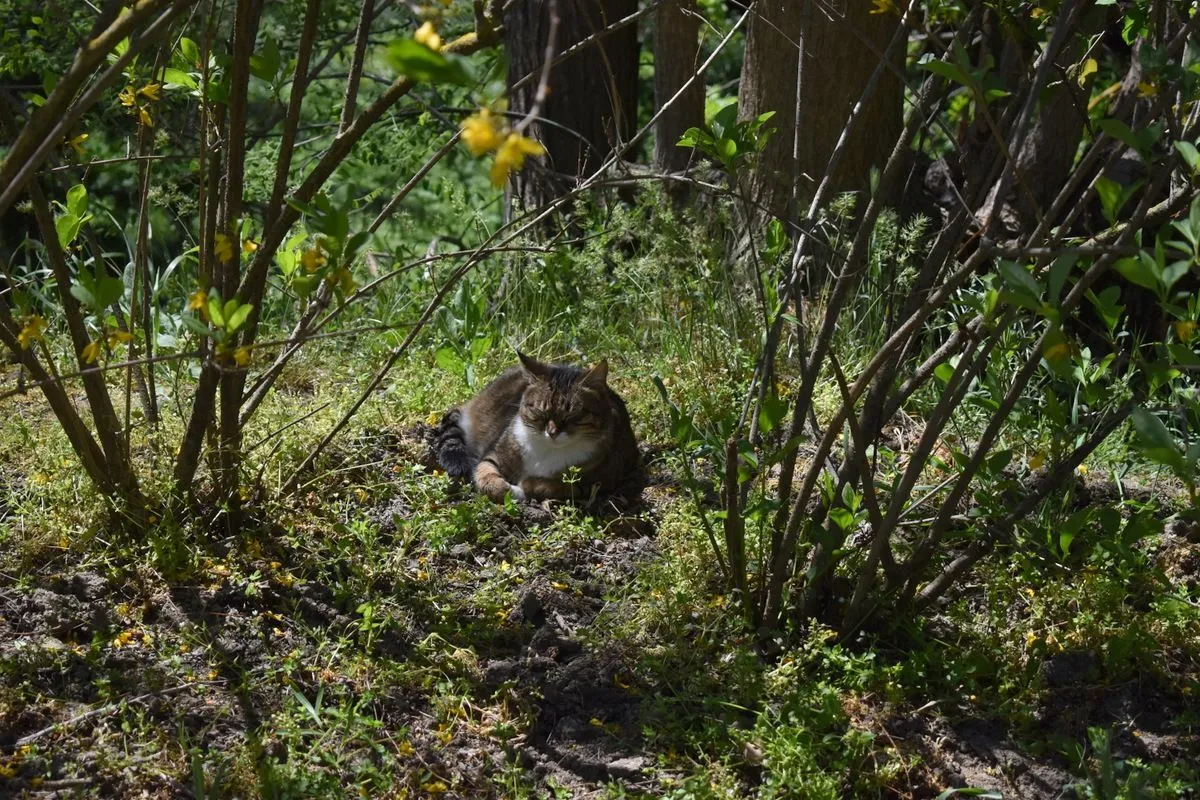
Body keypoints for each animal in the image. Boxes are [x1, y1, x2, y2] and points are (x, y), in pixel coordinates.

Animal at [436, 352, 643, 503]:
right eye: (540, 411)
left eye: (572, 415)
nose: (552, 432)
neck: (547, 449)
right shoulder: (492, 455)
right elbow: (484, 475)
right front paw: (510, 490)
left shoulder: (601, 480)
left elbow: (557, 485)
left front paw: (526, 485)